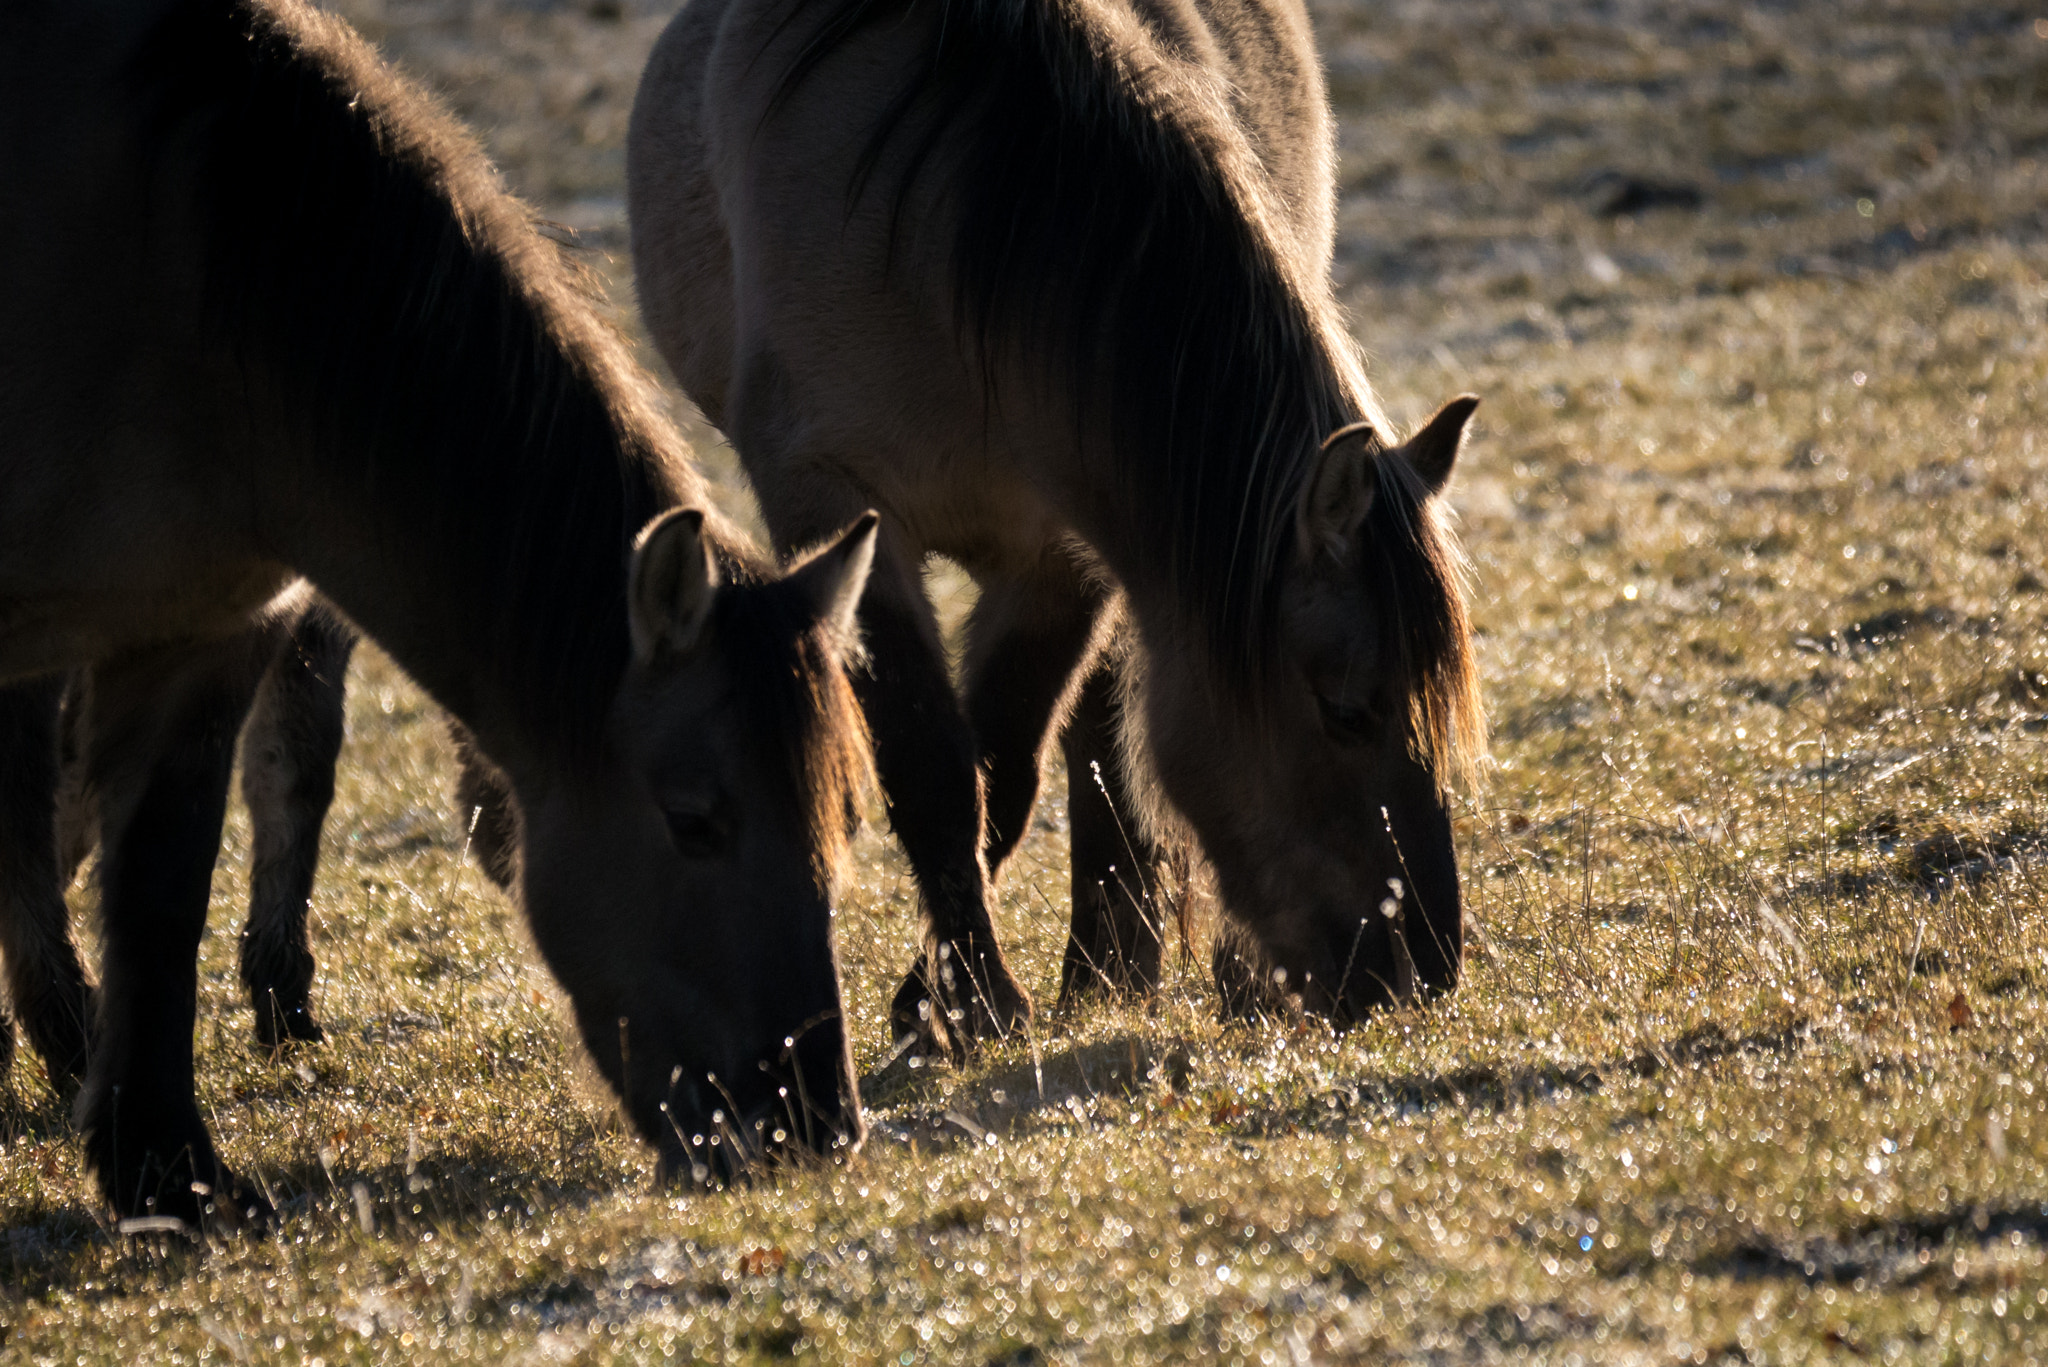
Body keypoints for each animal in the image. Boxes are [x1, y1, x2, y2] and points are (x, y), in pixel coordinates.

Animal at [0, 0, 876, 1221]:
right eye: (694, 818)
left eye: (843, 817)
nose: (808, 1121)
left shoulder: (200, 631)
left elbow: (159, 893)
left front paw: (169, 1175)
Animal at [626, 0, 1490, 1057]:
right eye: (1346, 710)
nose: (1424, 971)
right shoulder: (832, 504)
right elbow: (935, 766)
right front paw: (967, 1001)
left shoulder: (1063, 549)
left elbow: (1007, 761)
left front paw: (949, 994)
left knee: (1098, 736)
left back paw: (1122, 962)